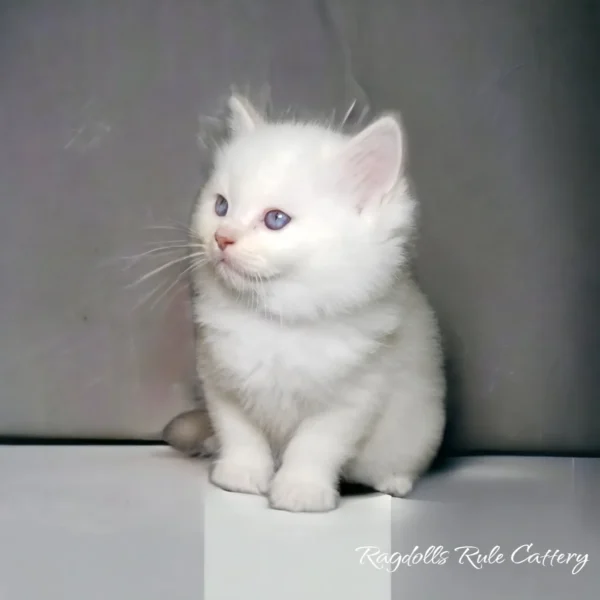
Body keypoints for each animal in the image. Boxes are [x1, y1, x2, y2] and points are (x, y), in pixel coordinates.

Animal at [188, 92, 446, 510]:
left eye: (276, 219)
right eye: (221, 206)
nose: (221, 238)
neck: (274, 319)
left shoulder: (353, 396)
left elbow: (314, 446)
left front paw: (300, 492)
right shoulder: (219, 379)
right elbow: (240, 432)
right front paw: (241, 476)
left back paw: (394, 481)